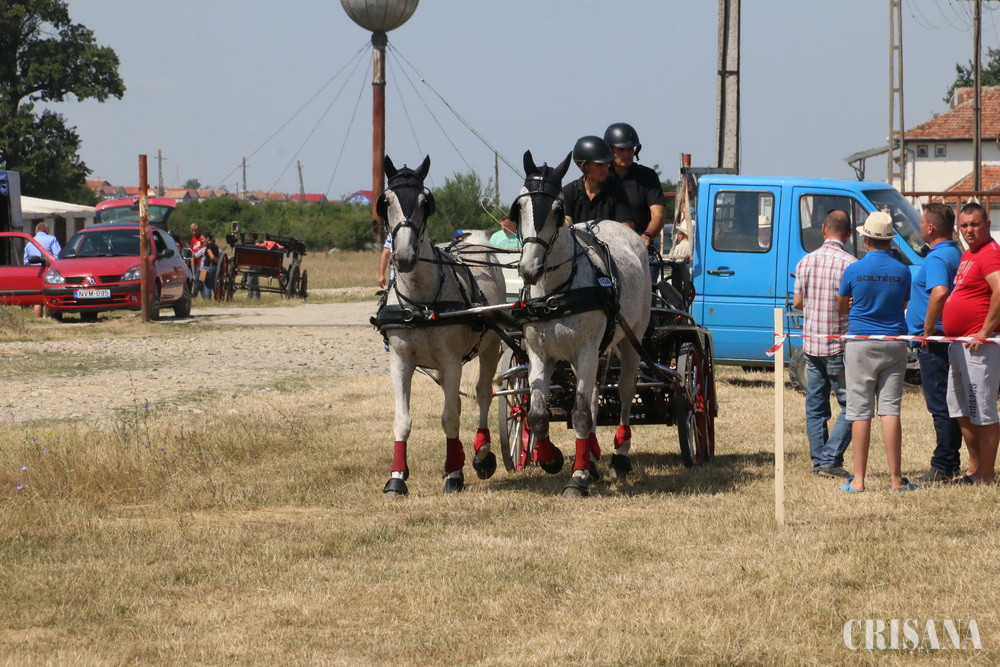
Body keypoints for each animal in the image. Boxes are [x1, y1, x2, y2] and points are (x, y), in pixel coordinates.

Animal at [373, 155, 506, 496]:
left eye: (425, 202)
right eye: (386, 201)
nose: (404, 255)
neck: (420, 302)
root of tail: (472, 240)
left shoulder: (450, 360)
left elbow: (451, 418)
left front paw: (455, 474)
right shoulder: (401, 360)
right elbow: (403, 419)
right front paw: (396, 477)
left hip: (490, 347)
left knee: (483, 394)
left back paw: (482, 453)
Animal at [511, 150, 652, 497]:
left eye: (558, 210)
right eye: (519, 207)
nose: (529, 268)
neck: (555, 293)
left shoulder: (587, 349)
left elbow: (580, 415)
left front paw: (576, 479)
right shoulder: (540, 354)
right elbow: (538, 415)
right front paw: (552, 459)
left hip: (631, 338)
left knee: (624, 391)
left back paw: (619, 455)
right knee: (591, 396)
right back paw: (591, 458)